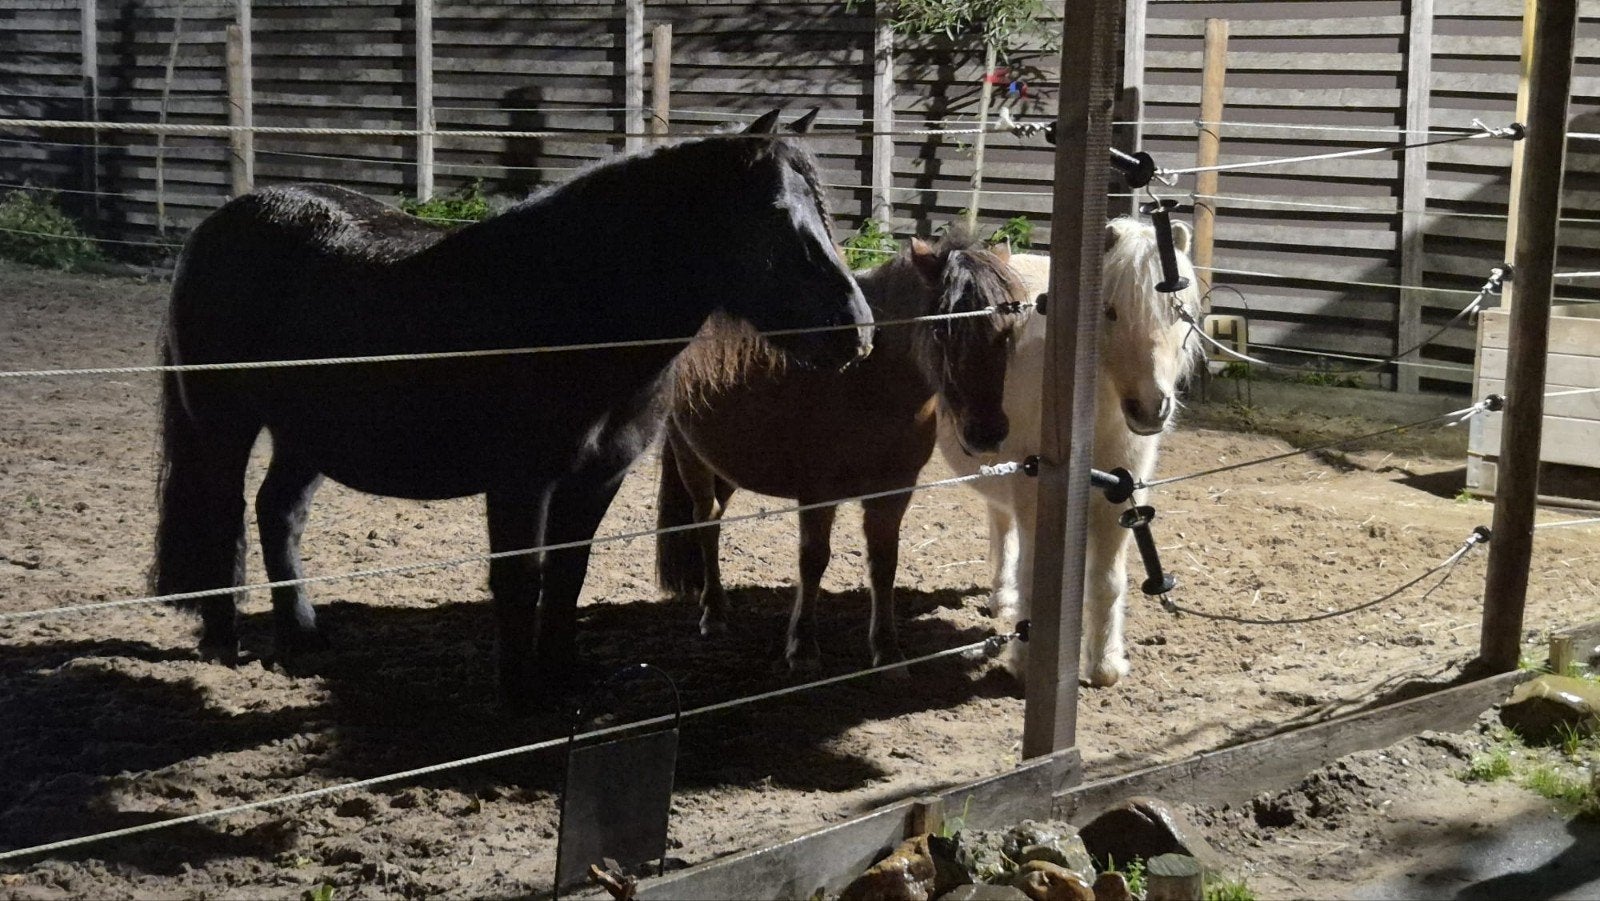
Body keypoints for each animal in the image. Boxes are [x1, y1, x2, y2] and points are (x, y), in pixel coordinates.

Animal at [149, 110, 873, 707]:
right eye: (776, 216)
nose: (858, 332)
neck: (572, 308)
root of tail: (217, 225)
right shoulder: (521, 483)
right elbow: (521, 576)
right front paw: (522, 689)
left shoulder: (595, 481)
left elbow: (568, 574)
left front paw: (564, 675)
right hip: (223, 426)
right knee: (222, 516)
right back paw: (223, 640)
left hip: (307, 435)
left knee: (279, 512)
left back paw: (302, 637)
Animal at [654, 232, 1027, 671]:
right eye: (941, 333)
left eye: (1007, 332)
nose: (986, 433)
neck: (867, 385)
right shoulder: (818, 493)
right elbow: (813, 560)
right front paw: (802, 647)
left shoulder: (894, 492)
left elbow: (884, 562)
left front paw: (887, 649)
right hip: (690, 457)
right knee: (705, 520)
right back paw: (713, 613)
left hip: (725, 465)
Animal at [937, 216, 1202, 687]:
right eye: (1110, 311)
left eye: (1177, 311)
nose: (1150, 408)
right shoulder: (1036, 495)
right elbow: (1034, 573)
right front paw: (1025, 665)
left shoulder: (1122, 499)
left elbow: (1108, 581)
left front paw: (1105, 666)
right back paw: (1003, 600)